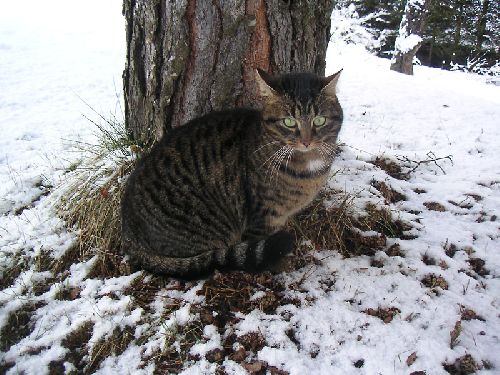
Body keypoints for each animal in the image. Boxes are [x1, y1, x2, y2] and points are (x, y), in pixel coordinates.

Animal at [120, 69, 344, 280]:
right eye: (289, 121)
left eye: (319, 120)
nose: (306, 141)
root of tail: (128, 234)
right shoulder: (263, 217)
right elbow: (261, 247)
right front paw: (277, 268)